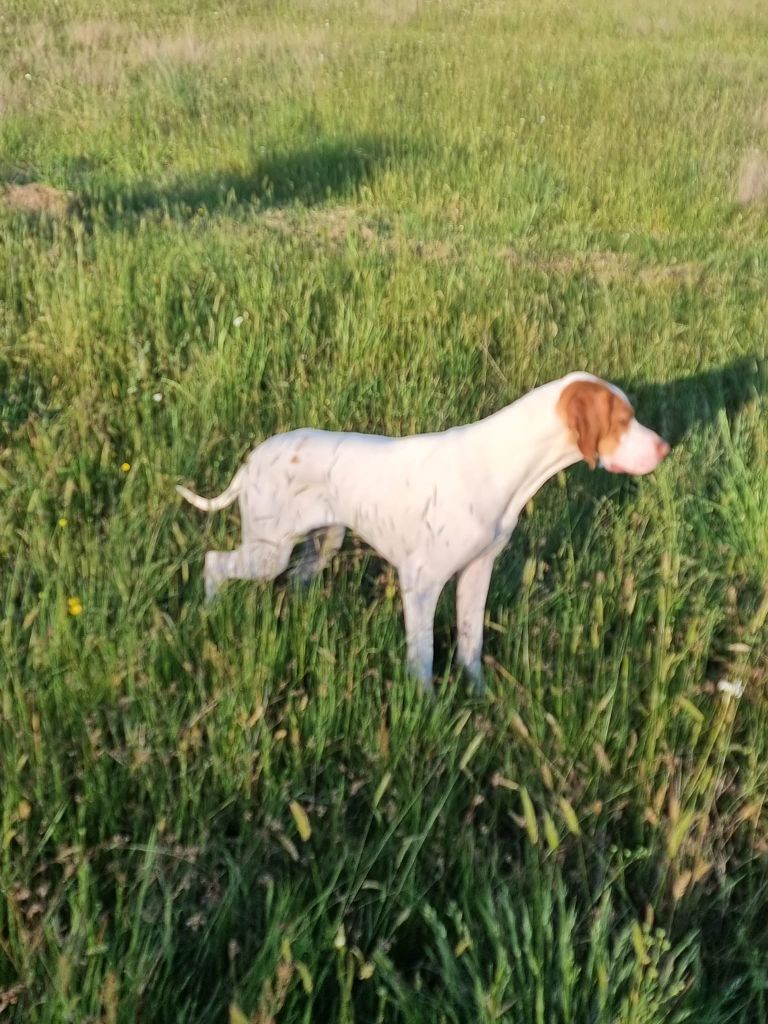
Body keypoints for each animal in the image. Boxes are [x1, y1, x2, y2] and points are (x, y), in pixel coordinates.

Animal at [177, 372, 671, 692]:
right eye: (622, 420)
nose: (665, 447)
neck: (499, 464)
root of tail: (251, 461)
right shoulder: (421, 585)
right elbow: (424, 658)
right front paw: (427, 708)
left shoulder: (477, 573)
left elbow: (470, 646)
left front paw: (480, 698)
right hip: (267, 552)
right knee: (214, 563)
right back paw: (209, 611)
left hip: (322, 542)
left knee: (297, 579)